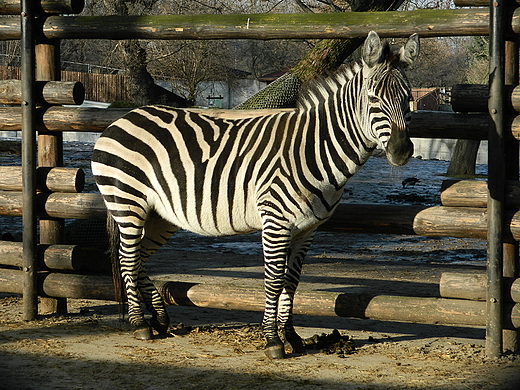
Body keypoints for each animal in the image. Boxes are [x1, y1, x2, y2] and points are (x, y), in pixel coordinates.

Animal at [91, 31, 420, 360]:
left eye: (408, 99)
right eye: (373, 98)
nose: (402, 151)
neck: (314, 149)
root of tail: (124, 117)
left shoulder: (308, 229)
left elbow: (291, 282)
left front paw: (292, 337)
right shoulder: (276, 222)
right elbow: (274, 281)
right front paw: (272, 341)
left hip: (161, 215)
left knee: (140, 257)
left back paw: (159, 319)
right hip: (128, 202)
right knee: (126, 259)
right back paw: (139, 324)